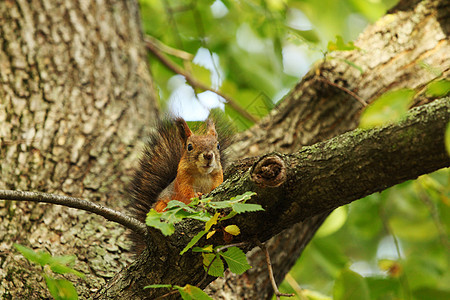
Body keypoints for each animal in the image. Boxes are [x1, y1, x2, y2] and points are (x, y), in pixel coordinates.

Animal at [127, 117, 227, 253]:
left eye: (218, 145)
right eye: (189, 147)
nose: (208, 155)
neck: (203, 174)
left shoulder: (218, 179)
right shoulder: (182, 184)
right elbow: (185, 198)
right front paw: (197, 196)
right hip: (161, 207)